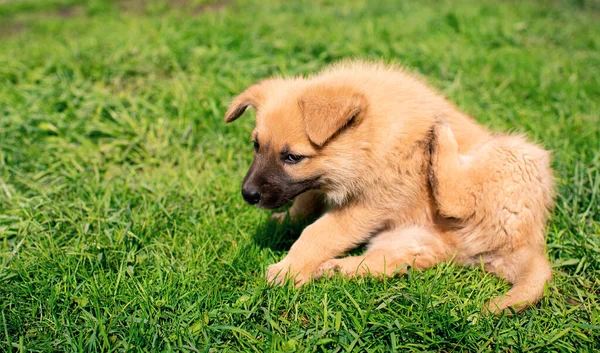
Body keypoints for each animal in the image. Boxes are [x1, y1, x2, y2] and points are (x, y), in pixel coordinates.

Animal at [226, 61, 556, 314]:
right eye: (256, 146)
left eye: (292, 157)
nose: (248, 195)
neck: (369, 138)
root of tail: (529, 244)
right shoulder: (324, 186)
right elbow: (306, 199)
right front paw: (286, 223)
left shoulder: (369, 205)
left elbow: (318, 232)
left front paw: (289, 267)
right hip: (406, 241)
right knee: (388, 265)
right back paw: (335, 269)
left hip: (513, 155)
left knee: (457, 200)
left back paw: (440, 137)